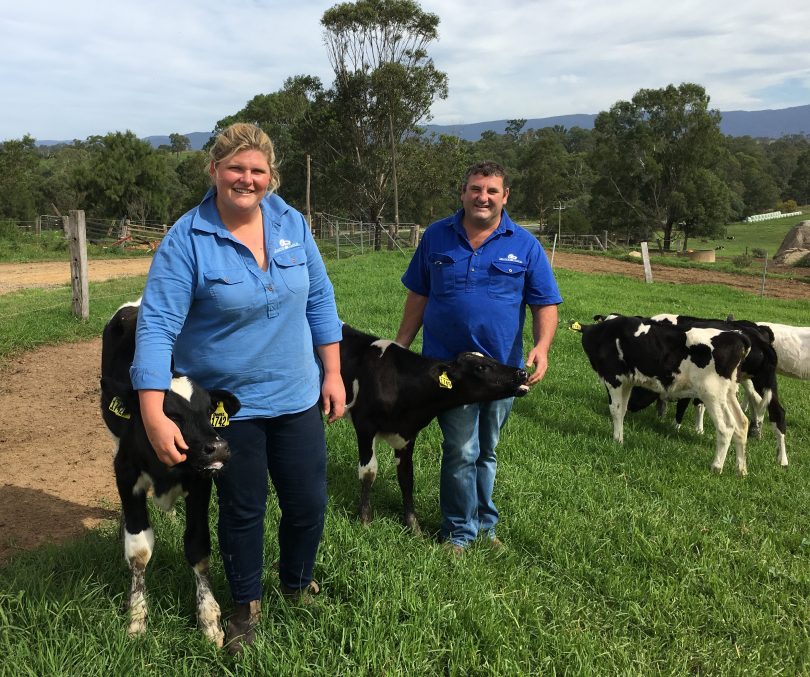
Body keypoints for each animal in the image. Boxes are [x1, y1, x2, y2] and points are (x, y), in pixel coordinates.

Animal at [101, 302, 240, 644]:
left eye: (209, 411)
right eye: (170, 415)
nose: (218, 448)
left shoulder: (200, 482)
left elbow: (198, 546)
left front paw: (209, 620)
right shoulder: (126, 474)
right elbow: (138, 550)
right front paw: (137, 617)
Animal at [576, 316, 752, 476]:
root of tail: (737, 336)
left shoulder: (614, 378)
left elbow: (616, 410)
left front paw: (617, 441)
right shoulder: (627, 381)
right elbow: (623, 409)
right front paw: (619, 439)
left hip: (712, 393)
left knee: (727, 426)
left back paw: (716, 466)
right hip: (728, 393)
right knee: (741, 423)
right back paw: (741, 470)